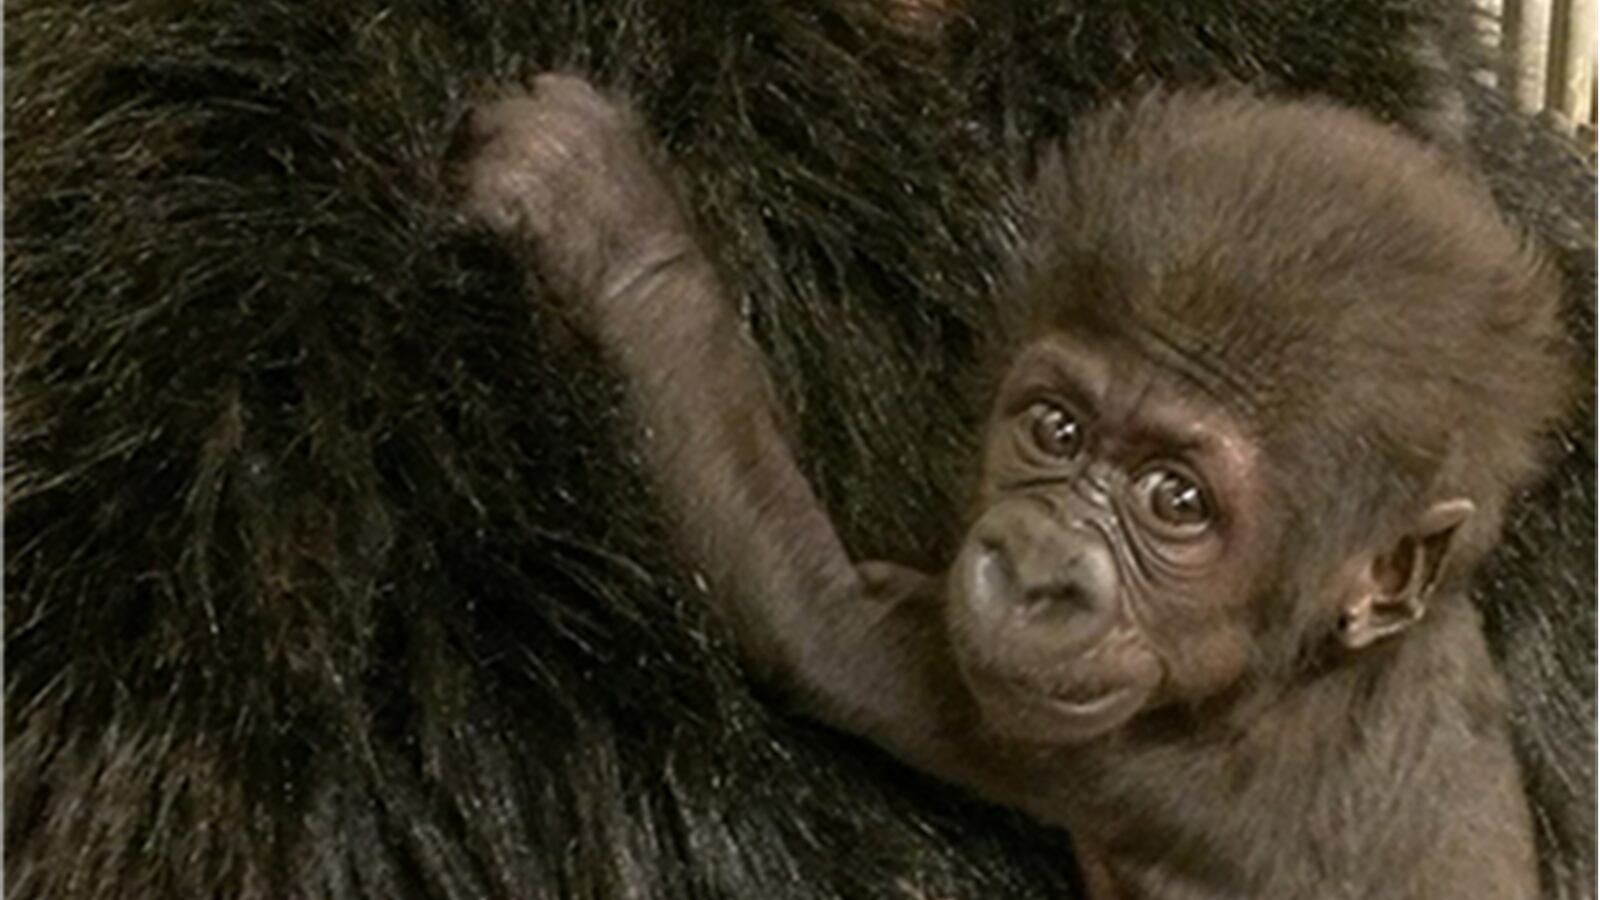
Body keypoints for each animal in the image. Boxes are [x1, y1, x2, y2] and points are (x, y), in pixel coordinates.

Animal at [461, 76, 1569, 899]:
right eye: (1056, 430)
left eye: (1178, 502)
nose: (1037, 571)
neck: (1312, 666)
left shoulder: (1151, 766)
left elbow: (816, 621)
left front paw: (619, 232)